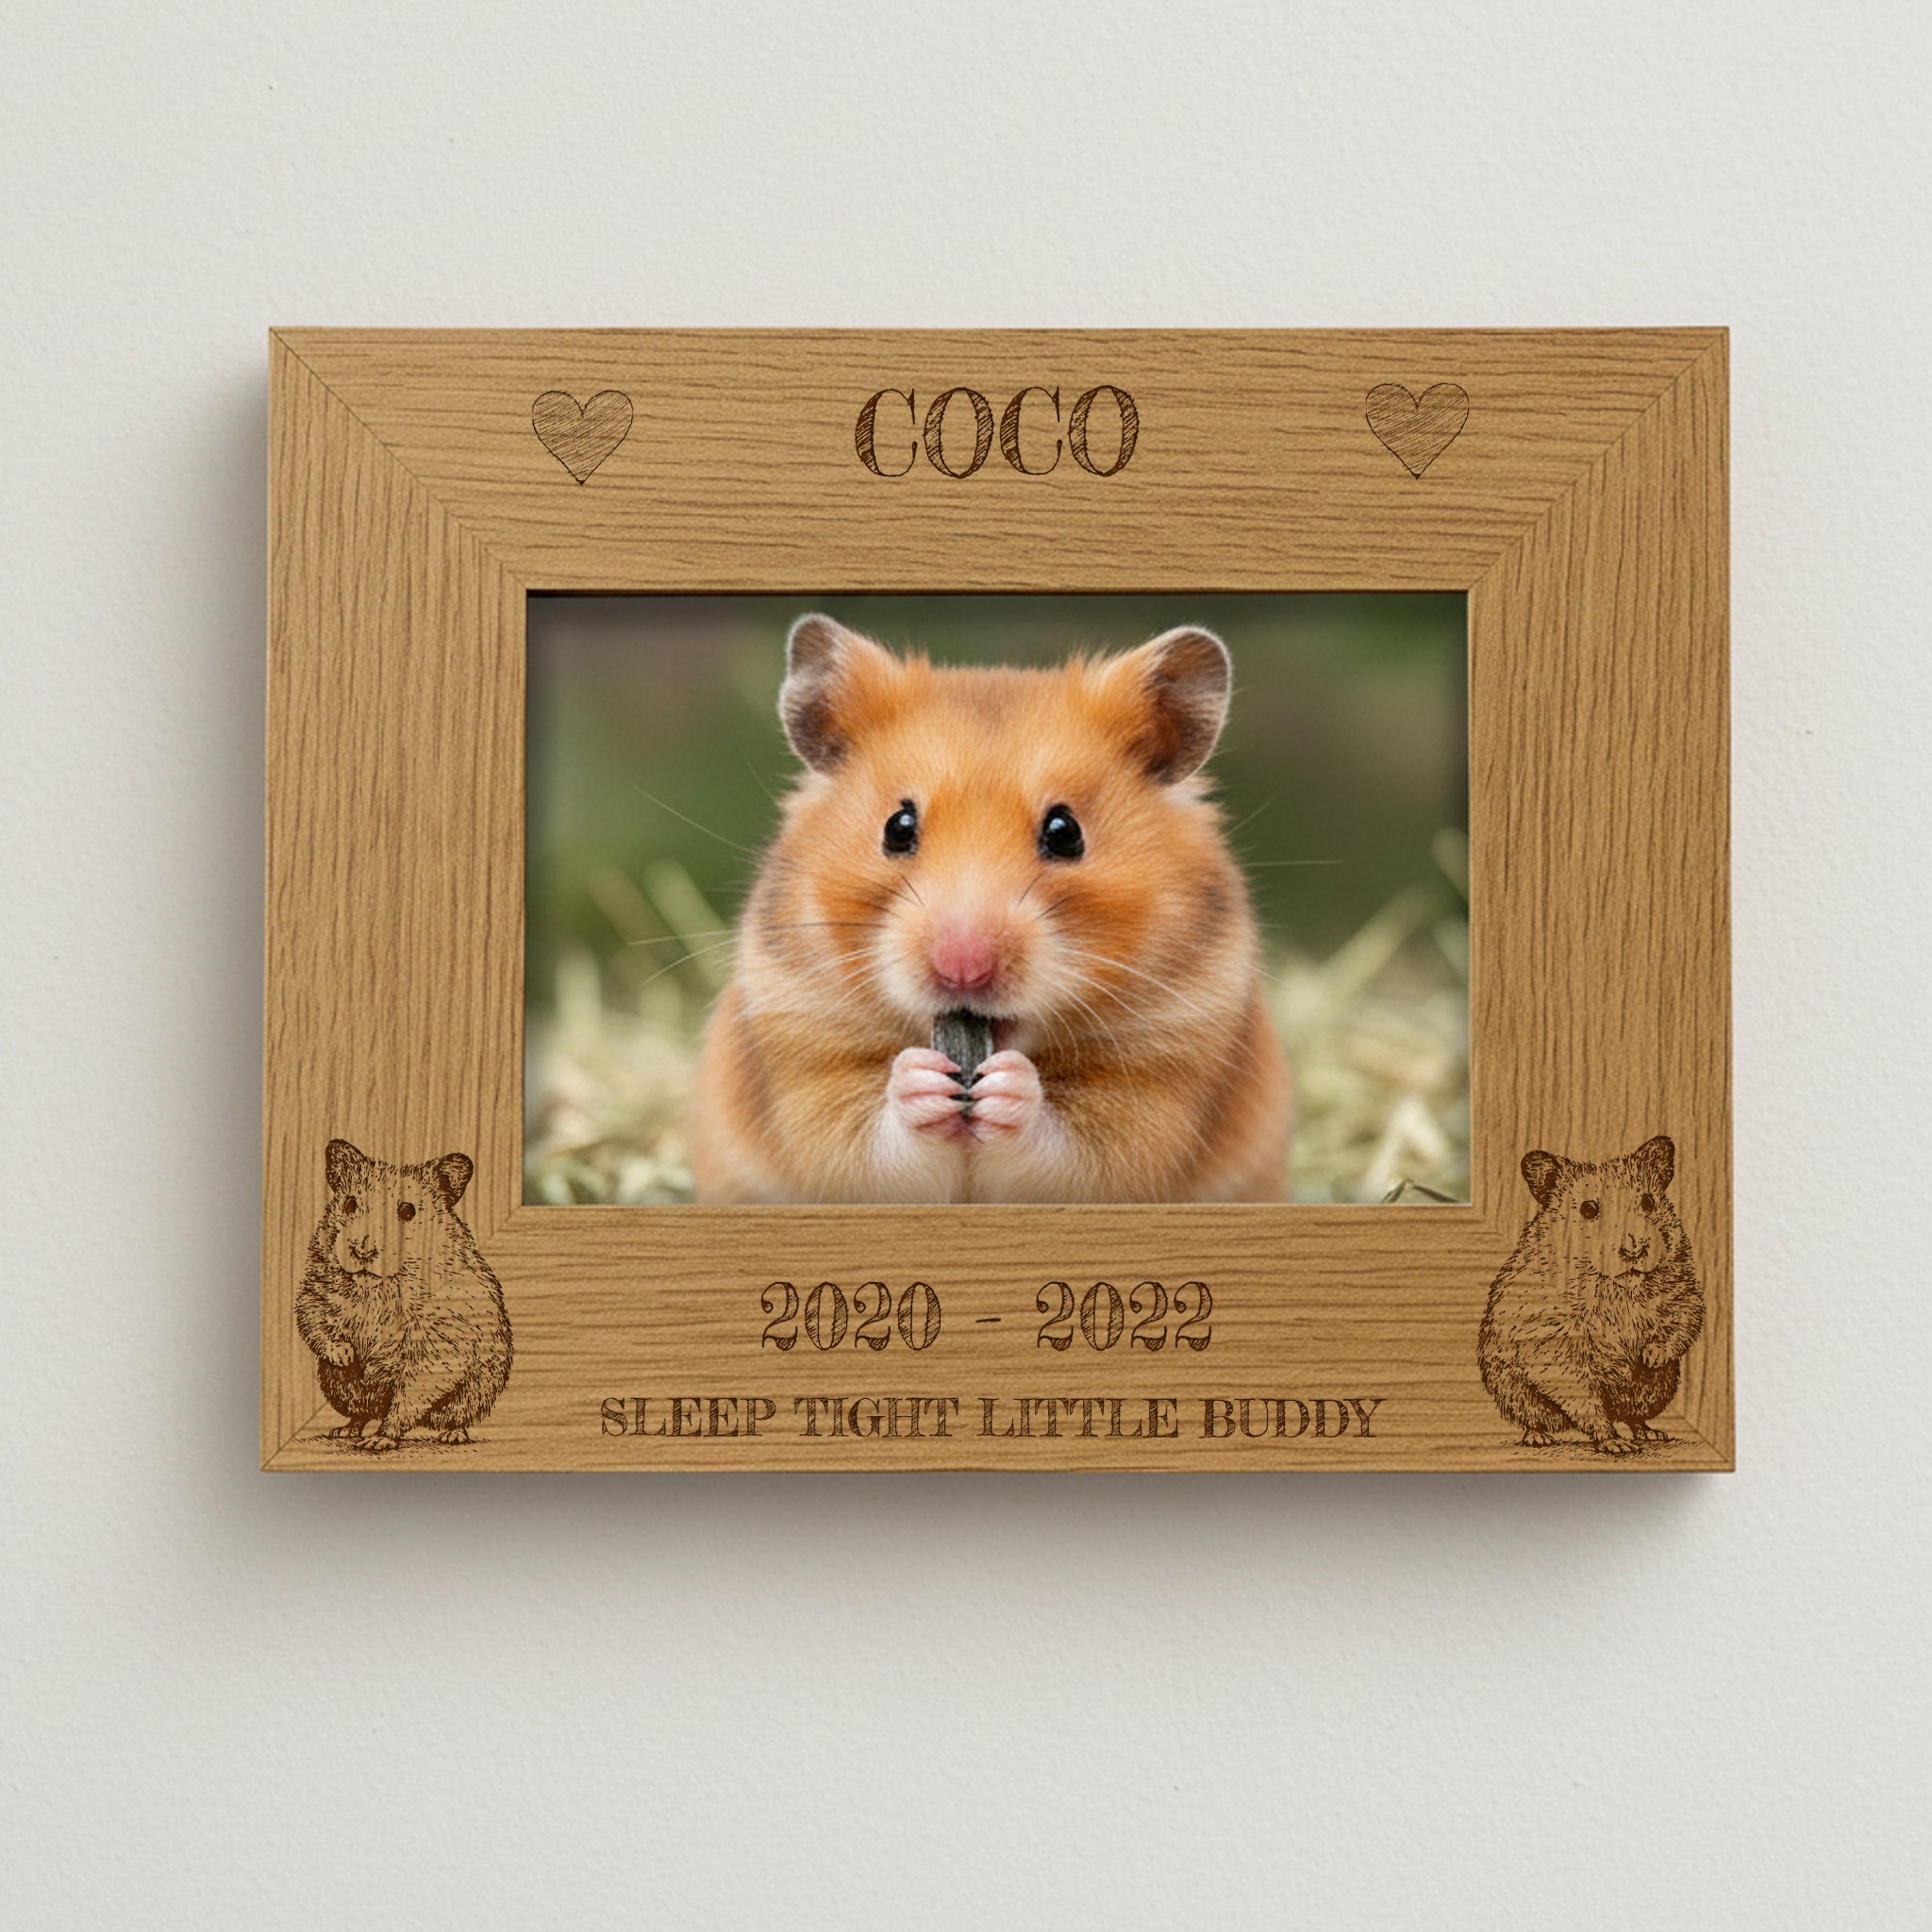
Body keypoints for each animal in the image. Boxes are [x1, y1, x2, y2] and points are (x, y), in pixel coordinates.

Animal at [297, 1140, 513, 1452]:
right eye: (350, 1203)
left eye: (407, 1211)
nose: (362, 1250)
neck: (374, 1287)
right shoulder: (315, 1290)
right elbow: (313, 1320)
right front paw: (347, 1356)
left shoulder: (438, 1345)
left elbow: (408, 1396)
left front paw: (380, 1440)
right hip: (339, 1388)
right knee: (362, 1414)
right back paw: (343, 1430)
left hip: (476, 1391)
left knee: (450, 1416)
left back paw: (450, 1435)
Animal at [691, 613, 1292, 1204]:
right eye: (897, 827)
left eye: (1065, 832)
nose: (963, 968)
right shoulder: (802, 1056)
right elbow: (861, 1142)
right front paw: (919, 1079)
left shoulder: (1163, 1079)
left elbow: (1075, 1150)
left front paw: (1011, 1087)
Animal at [1478, 1135, 1704, 1454]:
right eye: (1588, 1209)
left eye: (1648, 1202)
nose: (1634, 1249)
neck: (1621, 1288)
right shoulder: (1558, 1351)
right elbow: (1587, 1403)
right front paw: (1614, 1445)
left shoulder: (1683, 1292)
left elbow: (1684, 1323)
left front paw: (1649, 1357)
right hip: (1515, 1392)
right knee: (1541, 1418)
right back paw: (1540, 1438)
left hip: (1657, 1390)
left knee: (1633, 1416)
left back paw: (1652, 1433)